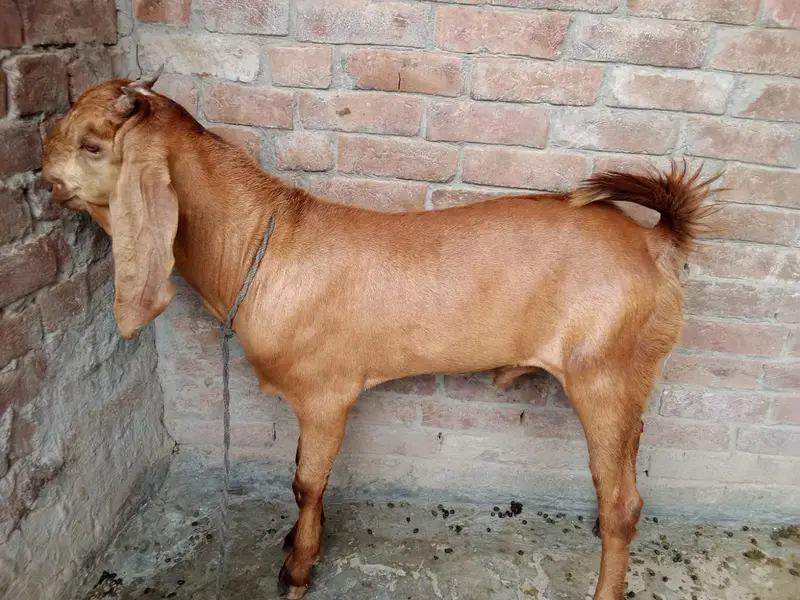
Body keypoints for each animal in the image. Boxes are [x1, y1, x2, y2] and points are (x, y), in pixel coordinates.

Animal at [43, 74, 718, 600]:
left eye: (93, 143)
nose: (43, 169)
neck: (264, 243)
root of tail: (656, 241)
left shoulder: (325, 395)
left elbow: (306, 480)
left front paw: (296, 569)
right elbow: (303, 473)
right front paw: (297, 542)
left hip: (604, 375)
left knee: (622, 504)